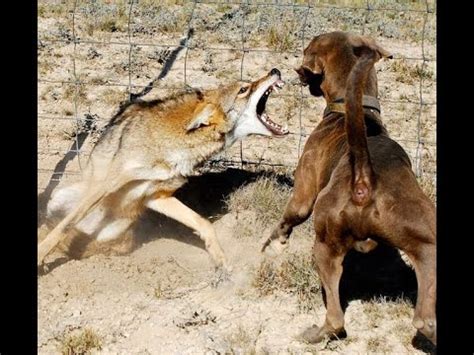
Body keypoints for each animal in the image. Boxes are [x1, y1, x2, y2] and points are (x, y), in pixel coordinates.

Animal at [262, 32, 436, 344]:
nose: (295, 72)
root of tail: (364, 179)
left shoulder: (303, 193)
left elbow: (288, 219)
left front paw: (272, 245)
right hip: (428, 243)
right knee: (424, 320)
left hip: (324, 244)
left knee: (336, 318)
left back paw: (315, 333)